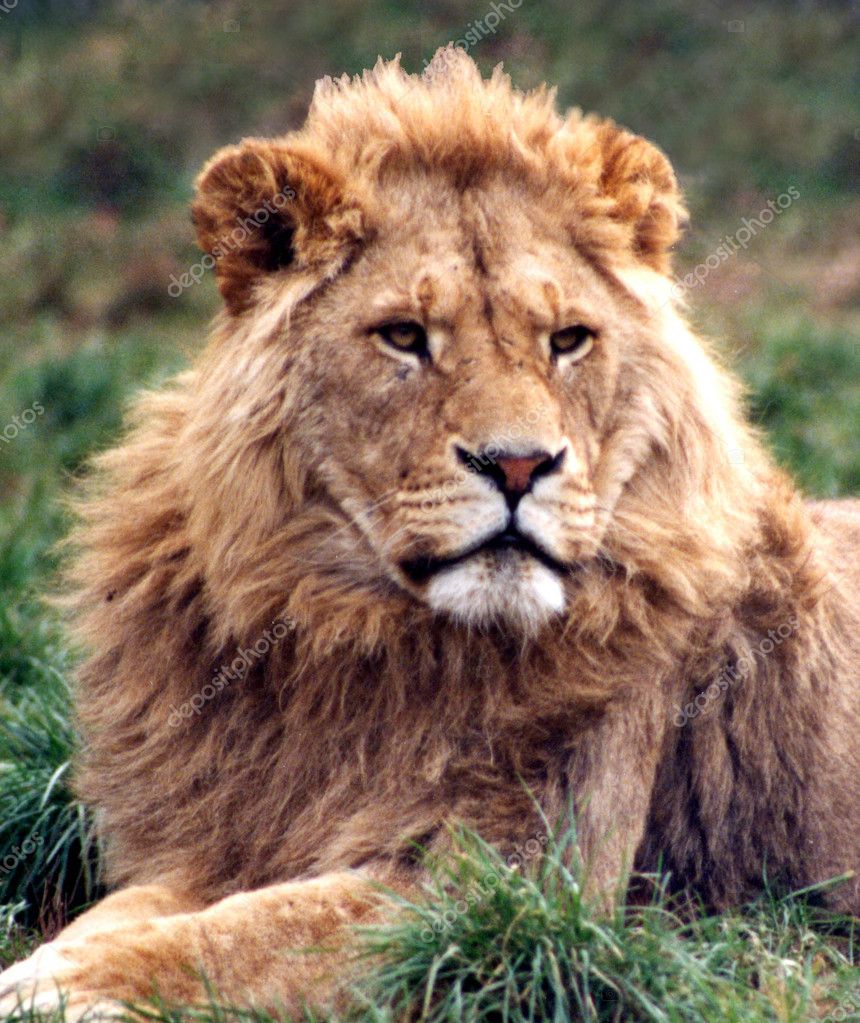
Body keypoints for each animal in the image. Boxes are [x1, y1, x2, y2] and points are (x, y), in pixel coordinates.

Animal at [2, 47, 859, 1018]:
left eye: (568, 339)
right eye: (404, 336)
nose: (520, 464)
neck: (346, 638)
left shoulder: (507, 885)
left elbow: (248, 933)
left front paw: (63, 986)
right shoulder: (232, 835)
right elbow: (135, 910)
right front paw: (56, 959)